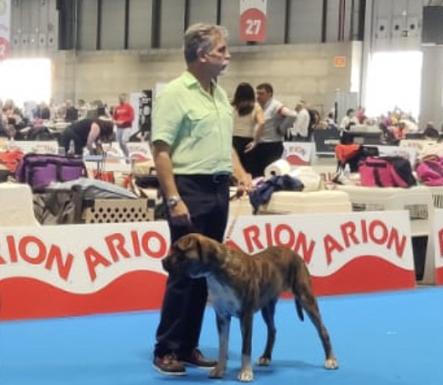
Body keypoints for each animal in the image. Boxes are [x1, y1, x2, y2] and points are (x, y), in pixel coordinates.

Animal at [163, 231, 340, 380]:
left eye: (179, 251)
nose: (163, 261)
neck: (218, 272)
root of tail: (293, 252)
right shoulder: (222, 316)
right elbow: (222, 346)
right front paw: (219, 370)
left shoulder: (245, 316)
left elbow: (246, 347)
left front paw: (246, 373)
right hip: (267, 307)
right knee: (272, 330)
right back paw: (266, 356)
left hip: (306, 298)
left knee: (323, 330)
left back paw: (331, 360)